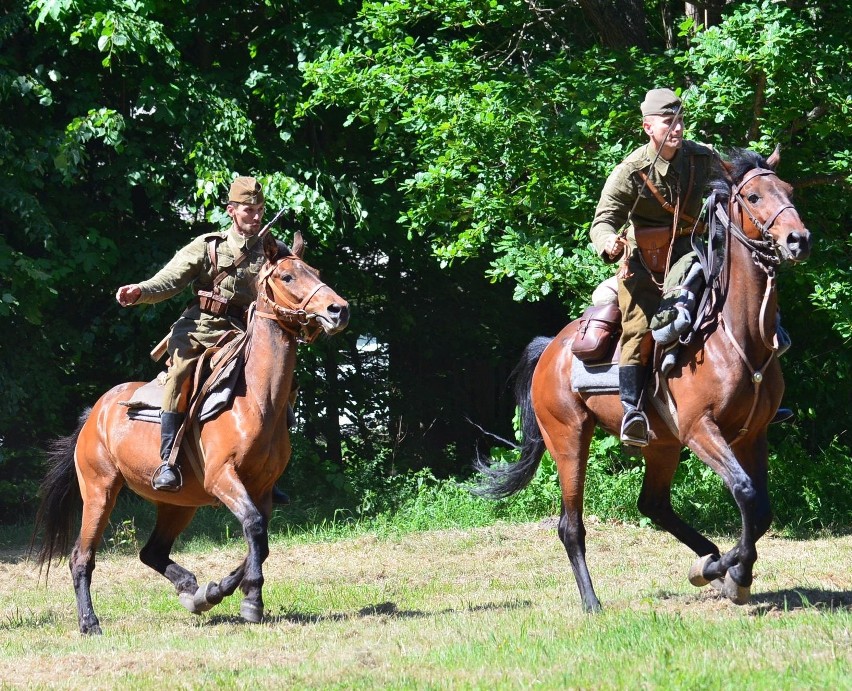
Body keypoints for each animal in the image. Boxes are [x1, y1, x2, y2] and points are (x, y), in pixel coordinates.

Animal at [31, 234, 348, 636]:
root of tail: (94, 414)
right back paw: (90, 623)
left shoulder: (262, 490)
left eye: (316, 272)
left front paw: (221, 591)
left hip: (177, 505)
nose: (339, 310)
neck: (255, 401)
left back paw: (191, 589)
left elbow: (259, 542)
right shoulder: (223, 478)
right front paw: (250, 600)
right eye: (288, 276)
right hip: (100, 493)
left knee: (152, 551)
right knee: (81, 557)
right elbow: (254, 528)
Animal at [480, 146, 812, 612]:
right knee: (571, 525)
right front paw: (735, 574)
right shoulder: (700, 430)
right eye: (753, 197)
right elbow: (747, 494)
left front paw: (726, 572)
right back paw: (593, 602)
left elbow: (760, 510)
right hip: (569, 439)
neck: (735, 335)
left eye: (789, 190)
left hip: (661, 445)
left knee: (653, 504)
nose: (798, 239)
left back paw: (706, 562)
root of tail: (550, 350)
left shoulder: (753, 435)